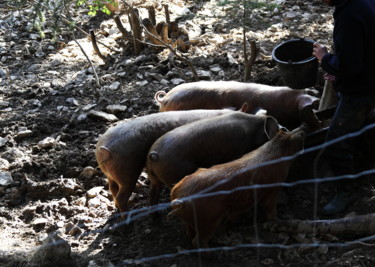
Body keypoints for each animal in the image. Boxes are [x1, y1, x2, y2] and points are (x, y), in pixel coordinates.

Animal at [170, 130, 306, 249]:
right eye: (293, 139)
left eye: (287, 132)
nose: (303, 130)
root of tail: (179, 198)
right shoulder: (273, 186)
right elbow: (270, 206)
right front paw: (278, 220)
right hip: (209, 220)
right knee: (197, 240)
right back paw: (210, 254)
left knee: (189, 231)